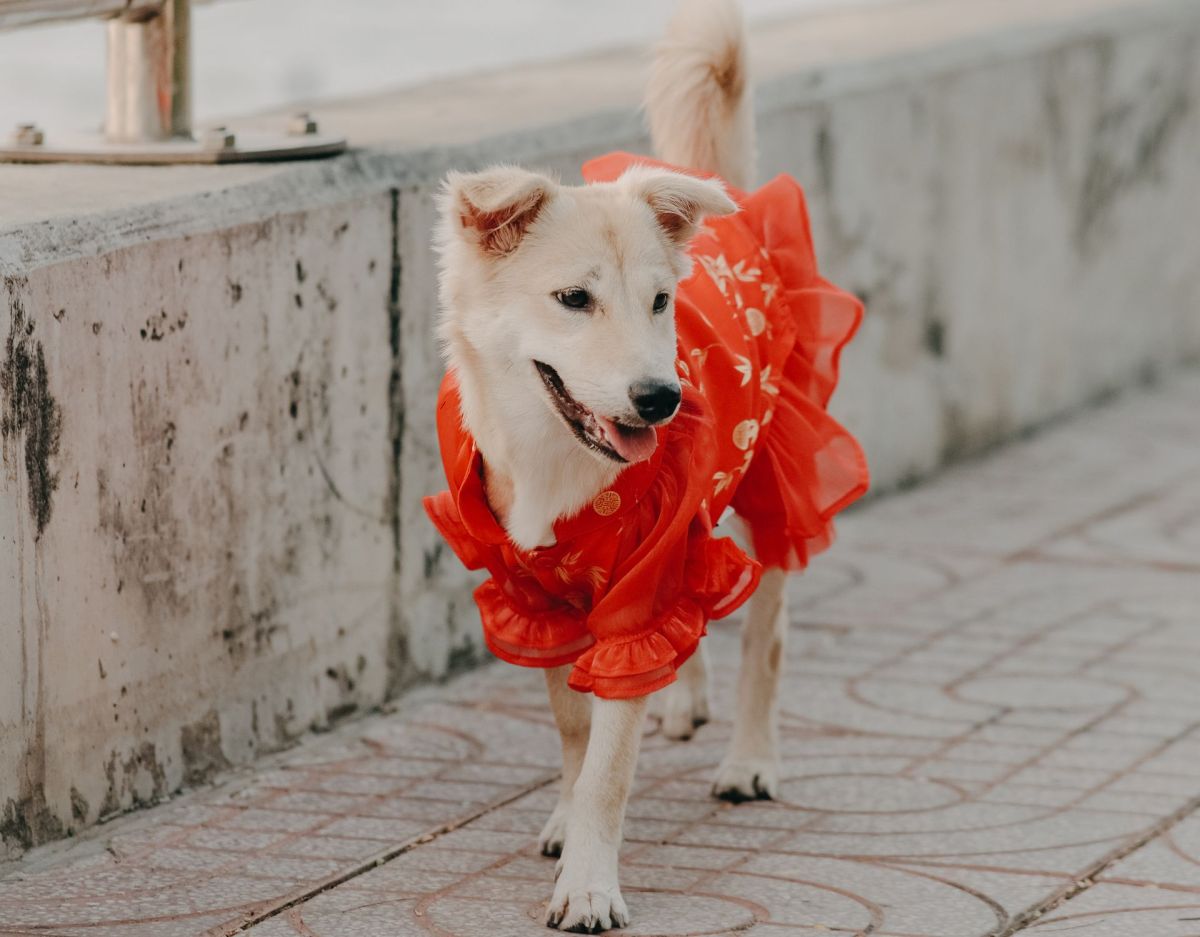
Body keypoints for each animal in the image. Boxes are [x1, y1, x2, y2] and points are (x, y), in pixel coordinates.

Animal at [427, 0, 868, 926]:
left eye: (662, 301)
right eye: (572, 298)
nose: (662, 399)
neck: (557, 462)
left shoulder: (636, 594)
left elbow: (610, 766)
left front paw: (590, 881)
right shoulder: (539, 598)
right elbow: (574, 727)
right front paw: (565, 818)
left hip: (775, 483)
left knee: (766, 633)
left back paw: (749, 758)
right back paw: (686, 697)